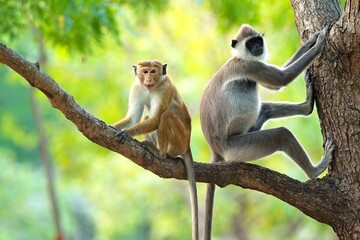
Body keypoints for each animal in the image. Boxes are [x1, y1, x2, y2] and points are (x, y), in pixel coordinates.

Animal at [113, 59, 200, 240]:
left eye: (153, 71)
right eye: (145, 71)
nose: (148, 79)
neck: (150, 89)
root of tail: (187, 144)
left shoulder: (165, 89)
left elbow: (154, 120)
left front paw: (127, 133)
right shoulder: (136, 88)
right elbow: (134, 118)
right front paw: (112, 126)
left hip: (178, 141)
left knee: (165, 115)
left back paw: (159, 154)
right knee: (147, 116)